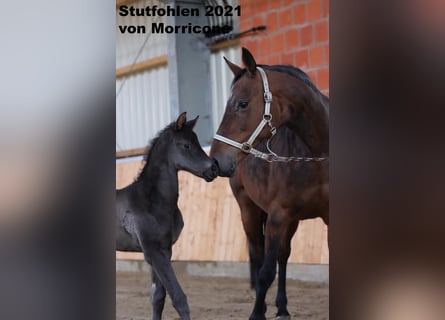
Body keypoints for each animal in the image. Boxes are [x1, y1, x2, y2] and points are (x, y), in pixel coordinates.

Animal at [116, 111, 217, 318]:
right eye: (186, 145)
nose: (213, 169)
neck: (154, 202)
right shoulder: (153, 252)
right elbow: (179, 298)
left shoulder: (165, 250)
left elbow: (158, 297)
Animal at [210, 48, 328, 320]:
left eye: (242, 103)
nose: (216, 159)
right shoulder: (277, 216)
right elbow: (265, 272)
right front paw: (256, 314)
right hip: (249, 210)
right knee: (258, 253)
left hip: (291, 220)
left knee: (283, 256)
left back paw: (282, 307)